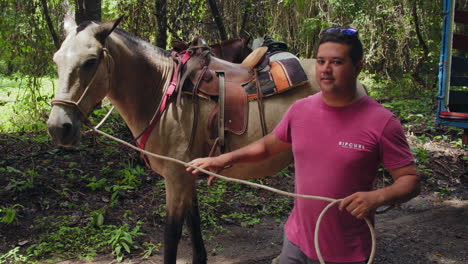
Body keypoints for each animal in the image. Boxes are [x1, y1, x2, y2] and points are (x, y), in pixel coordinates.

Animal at [46, 17, 370, 262]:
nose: (58, 128)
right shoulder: (188, 175)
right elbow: (196, 231)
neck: (161, 92)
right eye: (56, 61)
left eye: (90, 61)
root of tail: (359, 86)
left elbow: (172, 238)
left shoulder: (176, 178)